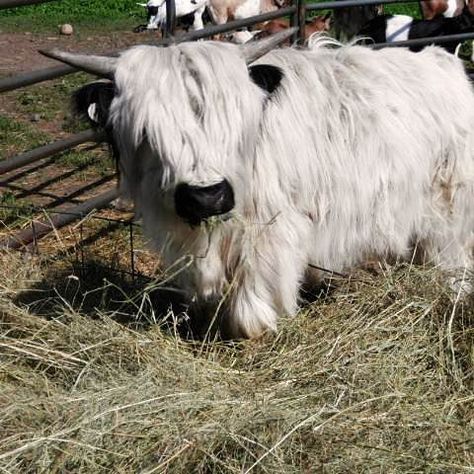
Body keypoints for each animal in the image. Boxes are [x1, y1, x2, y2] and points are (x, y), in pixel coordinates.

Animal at [40, 32, 474, 336]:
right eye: (147, 131)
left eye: (238, 121)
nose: (207, 196)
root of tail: (446, 62)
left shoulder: (271, 234)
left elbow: (253, 300)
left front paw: (257, 326)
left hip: (450, 209)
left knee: (451, 256)